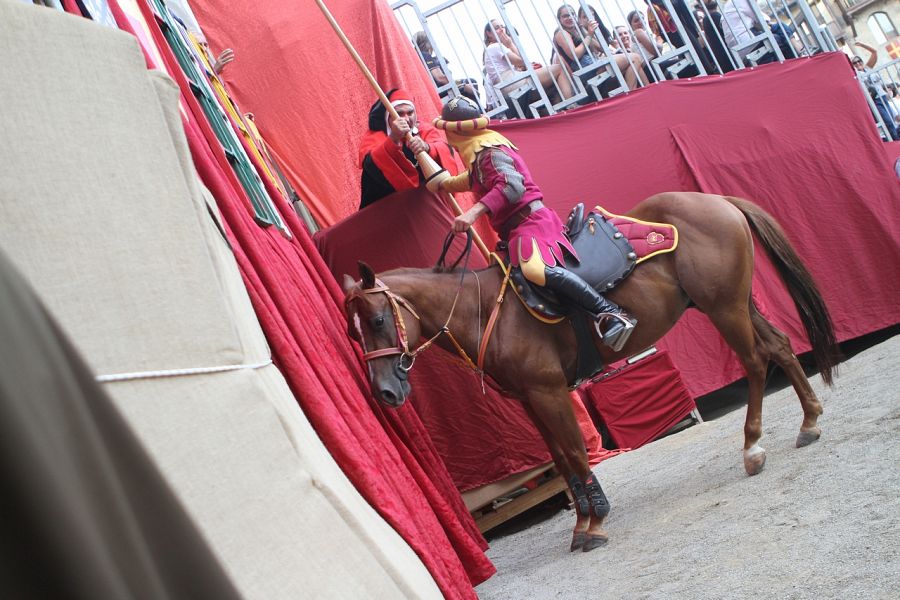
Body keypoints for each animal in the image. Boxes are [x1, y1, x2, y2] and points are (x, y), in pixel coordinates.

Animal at [342, 191, 838, 553]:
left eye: (379, 320)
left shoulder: (550, 392)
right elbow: (561, 461)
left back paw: (752, 446)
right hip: (734, 301)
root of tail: (716, 200)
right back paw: (809, 421)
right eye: (353, 331)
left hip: (723, 308)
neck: (485, 310)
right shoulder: (531, 400)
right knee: (780, 346)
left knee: (755, 362)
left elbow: (577, 454)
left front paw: (595, 521)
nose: (384, 392)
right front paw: (581, 520)